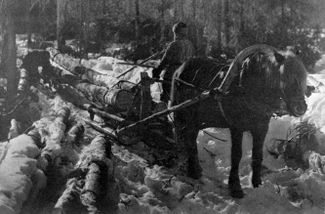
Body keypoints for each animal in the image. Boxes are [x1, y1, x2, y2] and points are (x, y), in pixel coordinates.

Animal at [170, 44, 306, 198]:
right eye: (286, 78)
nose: (301, 108)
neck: (249, 88)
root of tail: (178, 70)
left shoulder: (261, 127)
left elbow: (257, 155)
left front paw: (257, 184)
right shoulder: (237, 127)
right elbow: (236, 155)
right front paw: (235, 187)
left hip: (196, 120)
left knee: (191, 139)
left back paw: (196, 170)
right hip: (184, 116)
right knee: (187, 139)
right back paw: (193, 172)